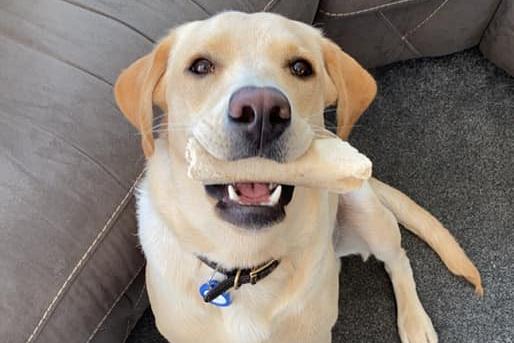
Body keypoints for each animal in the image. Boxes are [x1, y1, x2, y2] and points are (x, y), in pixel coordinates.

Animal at [115, 11, 480, 343]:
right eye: (201, 66)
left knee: (398, 260)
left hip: (369, 214)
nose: (262, 111)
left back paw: (415, 323)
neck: (245, 261)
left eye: (301, 68)